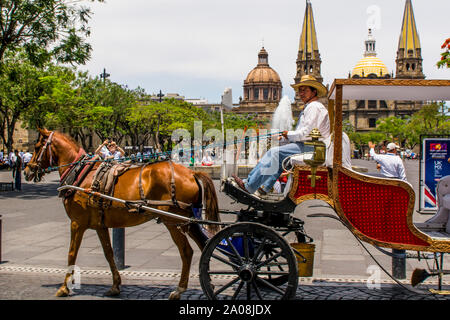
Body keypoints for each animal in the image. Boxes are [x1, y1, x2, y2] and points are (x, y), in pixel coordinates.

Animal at [23, 128, 221, 300]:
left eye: (37, 147)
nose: (27, 170)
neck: (81, 174)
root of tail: (192, 172)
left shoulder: (77, 222)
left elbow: (71, 253)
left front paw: (64, 287)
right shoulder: (99, 225)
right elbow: (109, 253)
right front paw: (115, 286)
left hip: (172, 220)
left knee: (187, 251)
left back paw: (180, 290)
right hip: (188, 220)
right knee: (205, 247)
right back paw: (208, 284)